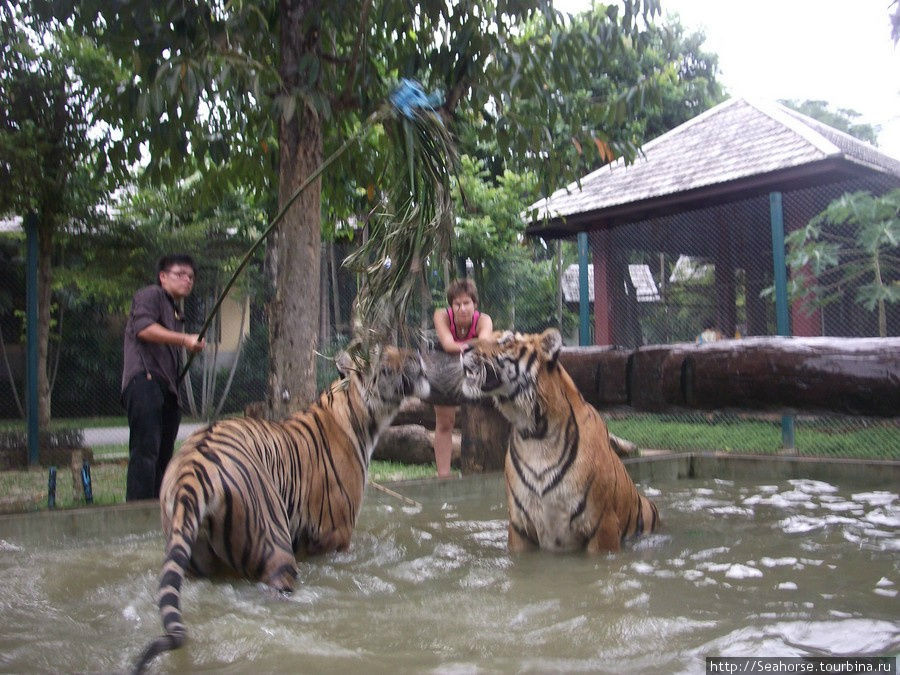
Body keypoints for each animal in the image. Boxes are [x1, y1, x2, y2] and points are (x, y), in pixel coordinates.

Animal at [132, 346, 430, 672]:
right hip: (274, 543)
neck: (358, 413)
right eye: (386, 360)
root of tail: (191, 470)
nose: (418, 354)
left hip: (196, 561)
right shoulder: (337, 534)